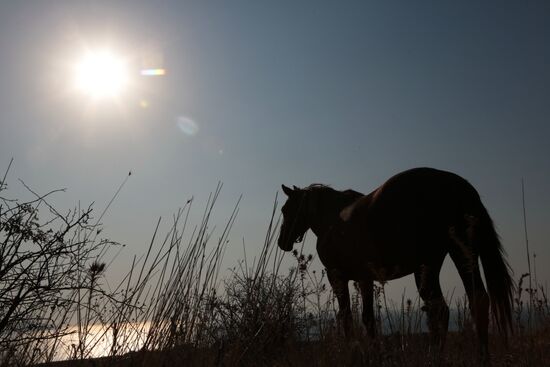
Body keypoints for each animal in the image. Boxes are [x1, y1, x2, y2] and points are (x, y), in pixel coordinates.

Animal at [280, 168, 516, 364]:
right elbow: (368, 319)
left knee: (441, 310)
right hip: (461, 254)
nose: (282, 242)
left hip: (428, 267)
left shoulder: (337, 276)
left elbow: (347, 317)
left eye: (286, 209)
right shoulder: (365, 278)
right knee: (474, 301)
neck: (332, 219)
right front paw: (373, 354)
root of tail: (461, 187)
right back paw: (479, 357)